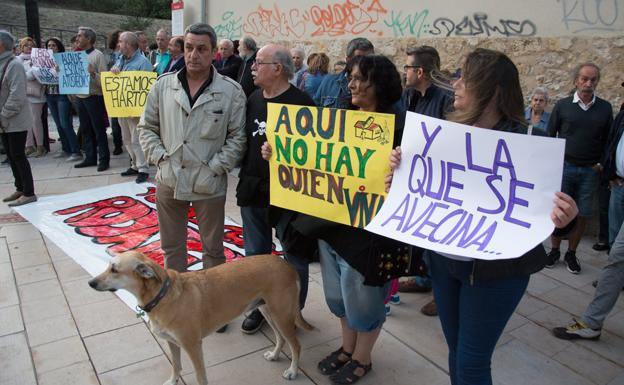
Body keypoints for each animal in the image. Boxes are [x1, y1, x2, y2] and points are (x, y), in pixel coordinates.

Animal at [88, 249, 312, 384]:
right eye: (108, 266)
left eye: (114, 269)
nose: (90, 283)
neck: (162, 296)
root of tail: (286, 263)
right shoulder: (172, 343)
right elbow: (176, 366)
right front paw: (172, 381)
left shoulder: (193, 346)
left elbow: (199, 375)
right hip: (268, 311)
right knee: (281, 338)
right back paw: (274, 355)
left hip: (281, 314)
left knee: (296, 345)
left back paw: (293, 371)